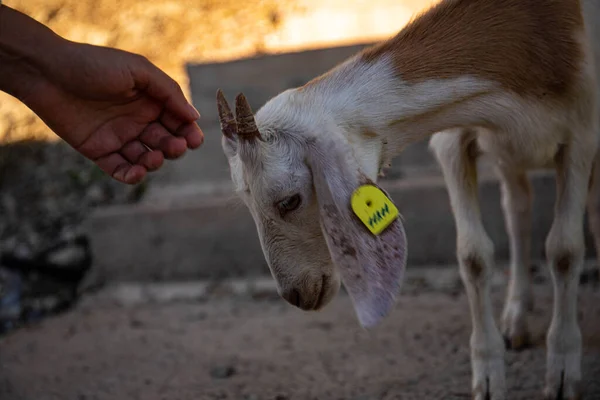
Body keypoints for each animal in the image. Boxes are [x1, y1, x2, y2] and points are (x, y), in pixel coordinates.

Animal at [216, 1, 600, 398]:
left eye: (289, 201)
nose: (294, 294)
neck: (536, 31)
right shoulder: (452, 141)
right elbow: (474, 256)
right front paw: (488, 377)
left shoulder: (582, 134)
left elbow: (565, 250)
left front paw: (562, 374)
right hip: (509, 155)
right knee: (517, 211)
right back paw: (516, 318)